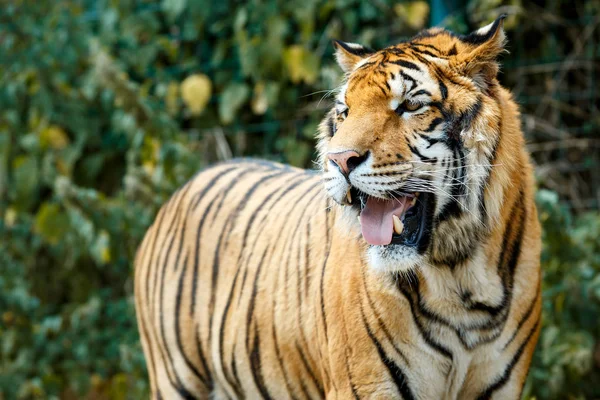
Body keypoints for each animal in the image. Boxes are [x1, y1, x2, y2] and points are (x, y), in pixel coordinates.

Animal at [136, 17, 544, 400]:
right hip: (176, 378)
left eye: (410, 105)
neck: (458, 276)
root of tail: (186, 186)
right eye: (345, 111)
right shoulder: (365, 385)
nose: (339, 160)